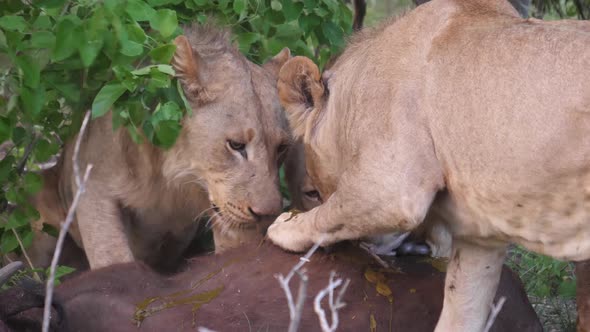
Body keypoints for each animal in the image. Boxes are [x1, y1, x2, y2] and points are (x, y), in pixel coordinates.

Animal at [25, 24, 294, 272]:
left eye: (281, 148)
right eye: (236, 145)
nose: (269, 214)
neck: (171, 177)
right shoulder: (92, 183)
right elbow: (112, 257)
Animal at [268, 1, 590, 330]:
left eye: (313, 192)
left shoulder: (392, 192)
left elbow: (327, 216)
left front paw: (284, 226)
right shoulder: (479, 241)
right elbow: (460, 313)